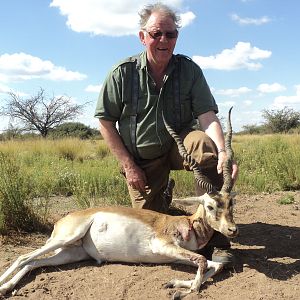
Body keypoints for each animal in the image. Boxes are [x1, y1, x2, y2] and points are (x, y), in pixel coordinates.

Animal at [0, 108, 239, 300]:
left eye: (231, 203)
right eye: (210, 206)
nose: (232, 230)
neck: (187, 224)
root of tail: (63, 220)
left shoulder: (180, 254)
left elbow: (214, 264)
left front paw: (175, 283)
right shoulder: (162, 245)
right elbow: (202, 261)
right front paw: (185, 290)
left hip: (71, 253)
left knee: (33, 263)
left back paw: (7, 287)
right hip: (66, 237)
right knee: (23, 257)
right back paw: (3, 286)